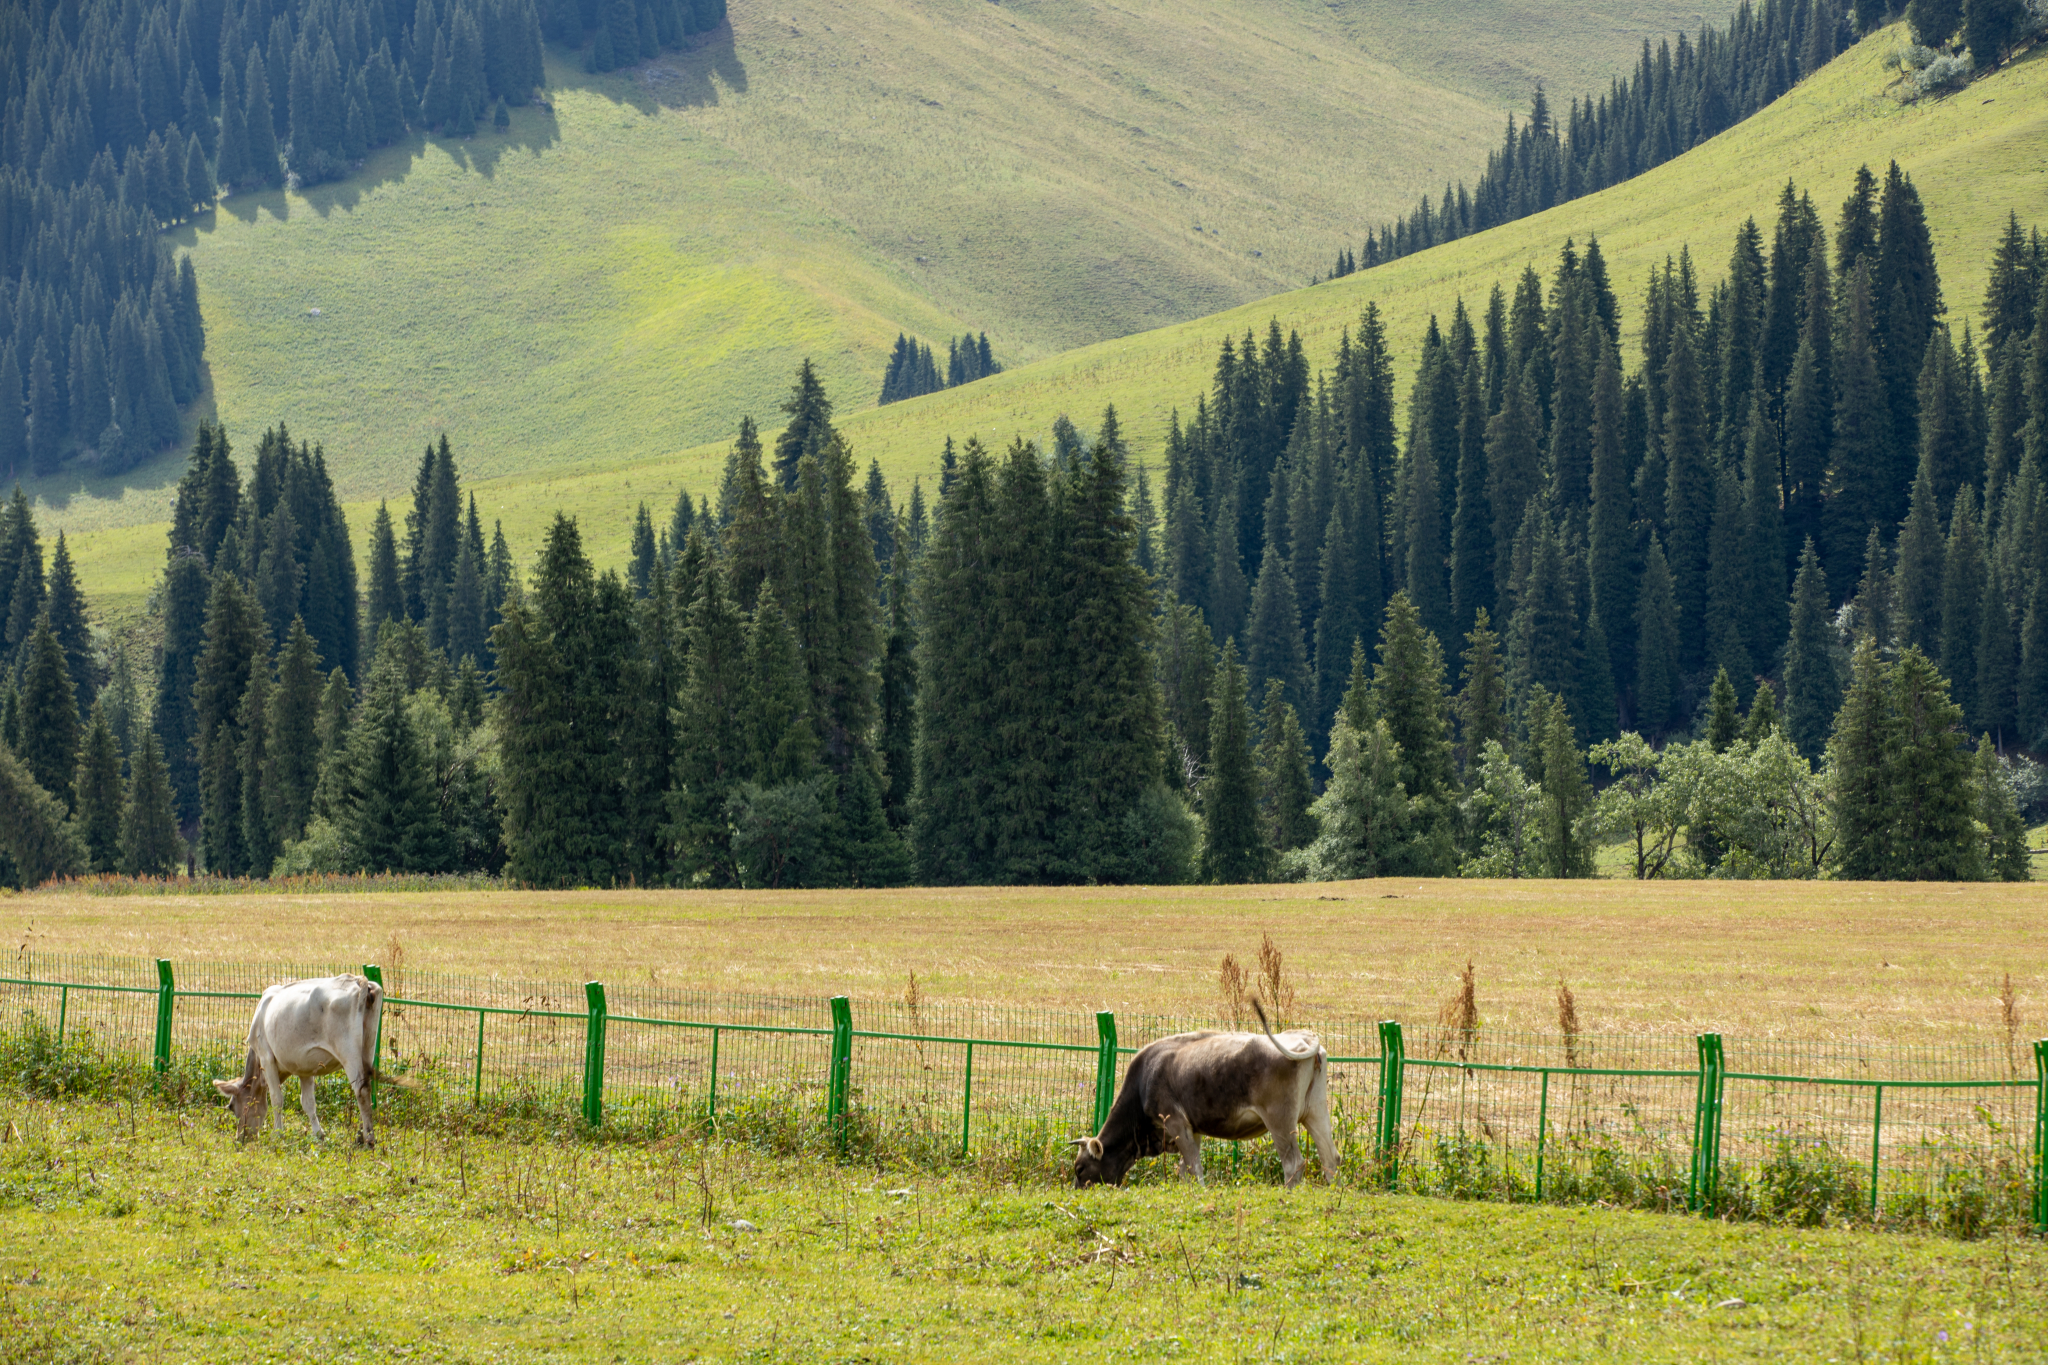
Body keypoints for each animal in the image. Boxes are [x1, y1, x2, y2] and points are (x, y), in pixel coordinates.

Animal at [215, 978, 387, 1146]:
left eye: (231, 1107)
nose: (240, 1138)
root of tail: (358, 980)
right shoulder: (305, 1067)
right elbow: (308, 1102)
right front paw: (319, 1134)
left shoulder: (266, 1057)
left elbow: (276, 1098)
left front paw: (278, 1134)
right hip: (368, 1047)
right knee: (367, 1086)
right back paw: (360, 1135)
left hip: (348, 1052)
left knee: (361, 1090)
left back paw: (369, 1139)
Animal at [1073, 998, 1343, 1186]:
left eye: (1079, 1169)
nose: (1079, 1190)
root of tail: (1306, 1038)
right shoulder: (1193, 1130)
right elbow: (1185, 1170)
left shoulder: (1176, 1122)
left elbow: (1195, 1169)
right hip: (1315, 1112)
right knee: (1331, 1158)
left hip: (1280, 1120)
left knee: (1294, 1163)